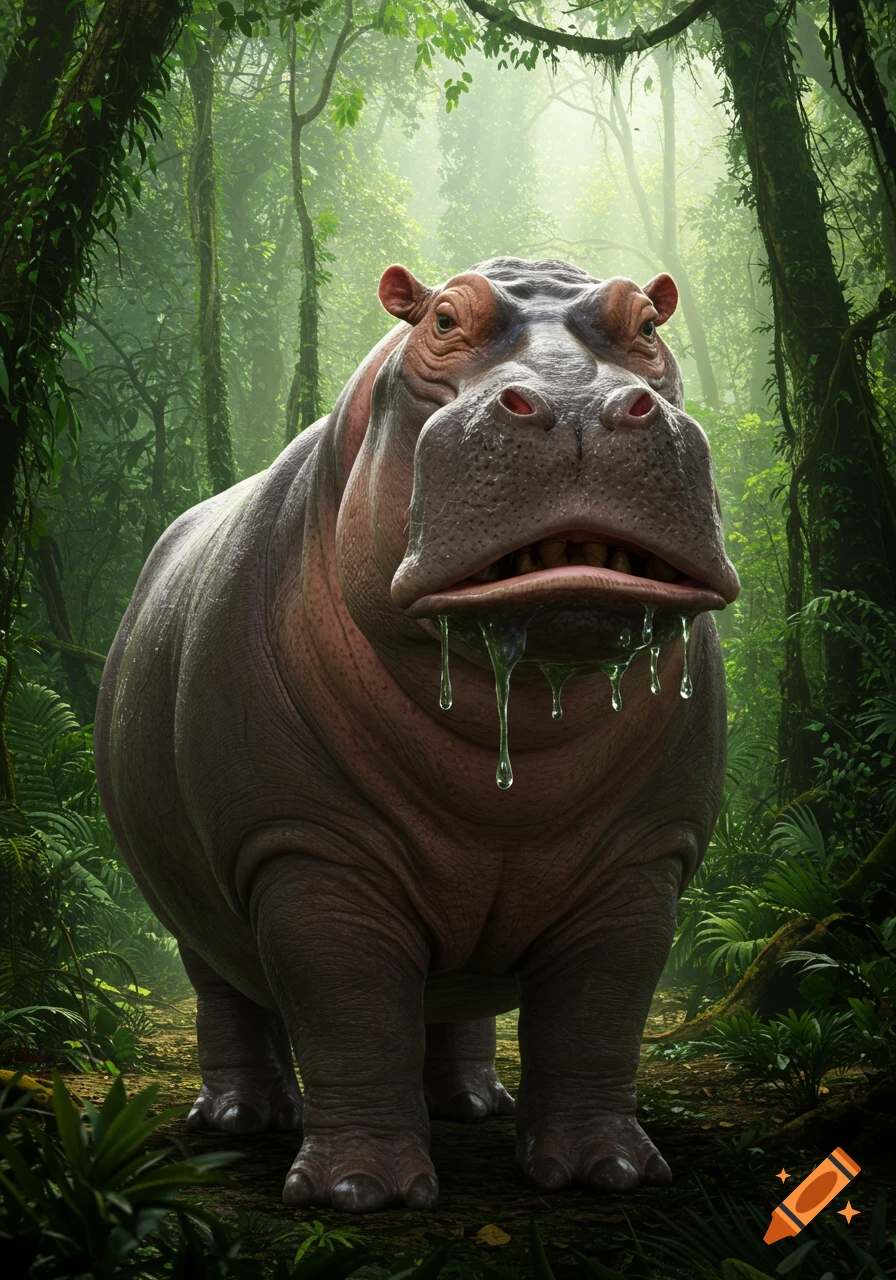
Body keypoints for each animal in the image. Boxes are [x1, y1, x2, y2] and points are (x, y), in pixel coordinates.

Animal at [94, 257, 739, 1213]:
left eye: (648, 325)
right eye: (442, 318)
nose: (581, 405)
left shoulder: (644, 857)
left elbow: (601, 1011)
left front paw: (608, 1174)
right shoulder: (307, 849)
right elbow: (349, 1007)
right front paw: (361, 1194)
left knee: (458, 1001)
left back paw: (471, 1104)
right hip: (187, 896)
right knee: (225, 987)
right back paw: (241, 1120)